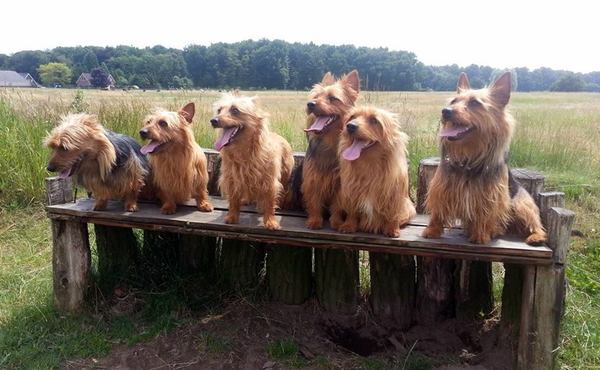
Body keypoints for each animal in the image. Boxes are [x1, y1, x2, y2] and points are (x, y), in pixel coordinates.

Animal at [211, 93, 296, 228]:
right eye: (219, 110)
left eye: (235, 110)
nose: (213, 120)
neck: (245, 152)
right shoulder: (232, 178)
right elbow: (233, 200)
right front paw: (232, 216)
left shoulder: (270, 182)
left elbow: (269, 202)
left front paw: (270, 221)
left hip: (285, 174)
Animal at [302, 70, 358, 228]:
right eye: (315, 97)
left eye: (333, 98)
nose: (310, 104)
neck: (329, 143)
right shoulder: (313, 179)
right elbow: (314, 202)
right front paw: (315, 221)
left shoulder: (340, 186)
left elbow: (337, 205)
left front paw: (336, 222)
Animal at [338, 106, 418, 237]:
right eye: (352, 117)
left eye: (374, 120)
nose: (350, 126)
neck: (370, 166)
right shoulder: (351, 192)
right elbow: (352, 213)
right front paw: (348, 226)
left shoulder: (394, 195)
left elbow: (393, 214)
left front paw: (392, 229)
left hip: (409, 208)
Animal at [424, 72, 548, 246]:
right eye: (453, 101)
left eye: (475, 103)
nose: (445, 111)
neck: (468, 157)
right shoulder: (442, 187)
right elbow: (438, 211)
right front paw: (432, 231)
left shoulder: (490, 195)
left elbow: (485, 214)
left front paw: (480, 236)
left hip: (521, 203)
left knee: (535, 223)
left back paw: (535, 236)